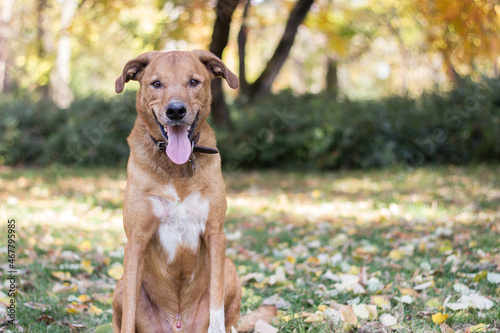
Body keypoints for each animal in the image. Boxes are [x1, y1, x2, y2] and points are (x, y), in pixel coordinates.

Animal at [112, 50, 241, 332]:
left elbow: (217, 305)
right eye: (156, 83)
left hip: (230, 269)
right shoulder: (136, 241)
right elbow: (129, 313)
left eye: (193, 82)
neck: (175, 167)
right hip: (120, 285)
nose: (175, 111)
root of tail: (178, 324)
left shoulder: (215, 233)